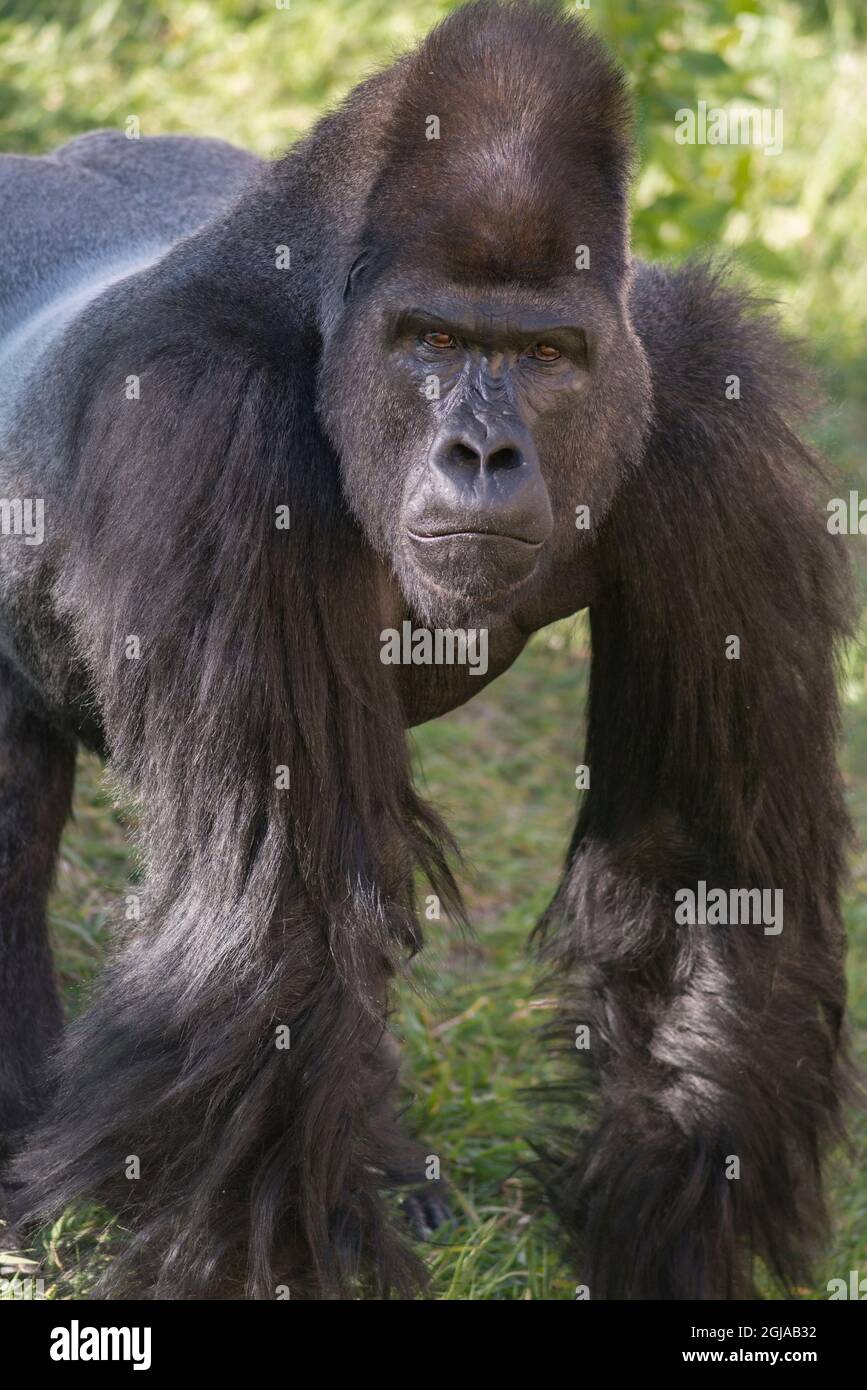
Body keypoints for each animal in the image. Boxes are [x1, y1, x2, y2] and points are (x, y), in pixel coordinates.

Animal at [0, 2, 855, 1301]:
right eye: (435, 339)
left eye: (546, 356)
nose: (482, 454)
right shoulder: (205, 418)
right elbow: (266, 935)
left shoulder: (716, 410)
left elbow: (707, 860)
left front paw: (660, 1228)